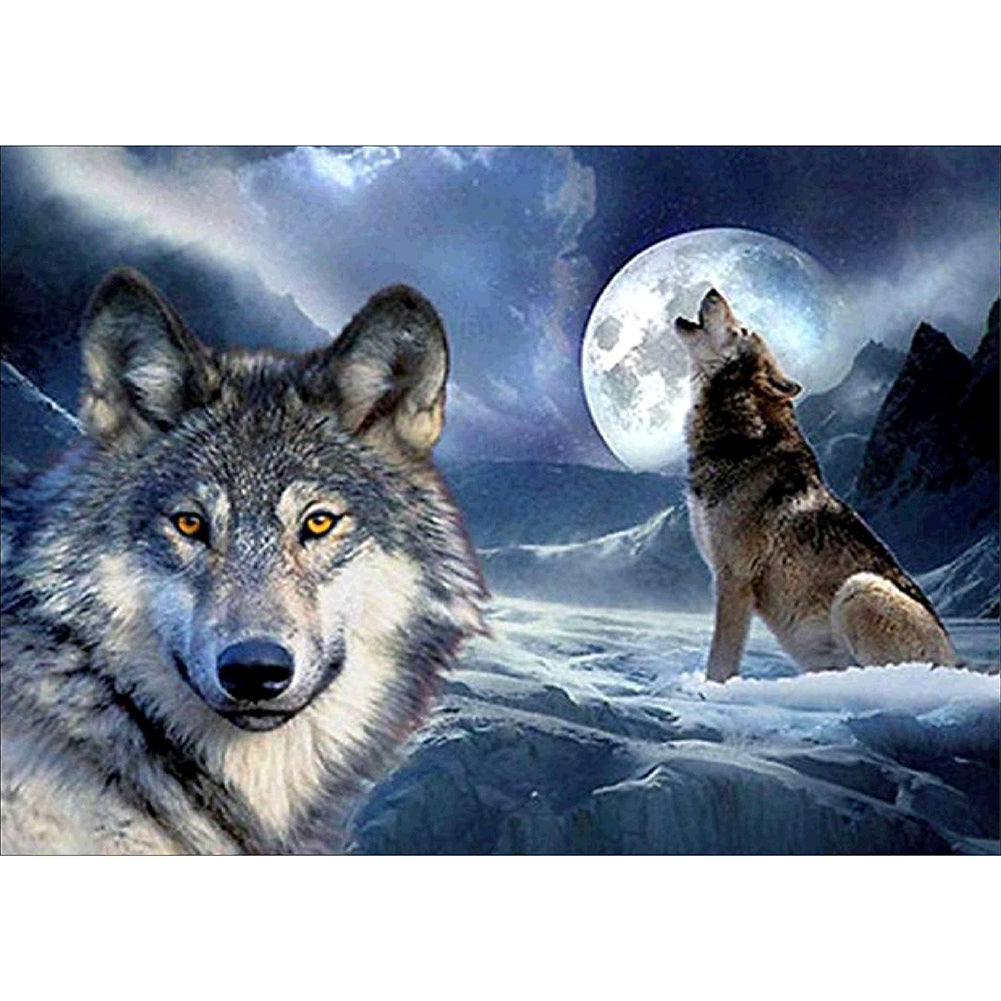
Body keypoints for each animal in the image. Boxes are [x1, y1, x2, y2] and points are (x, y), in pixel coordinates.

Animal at [675, 288, 957, 682]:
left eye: (742, 329)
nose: (713, 290)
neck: (740, 438)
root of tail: (958, 663)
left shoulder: (734, 579)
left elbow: (720, 661)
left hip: (859, 589)